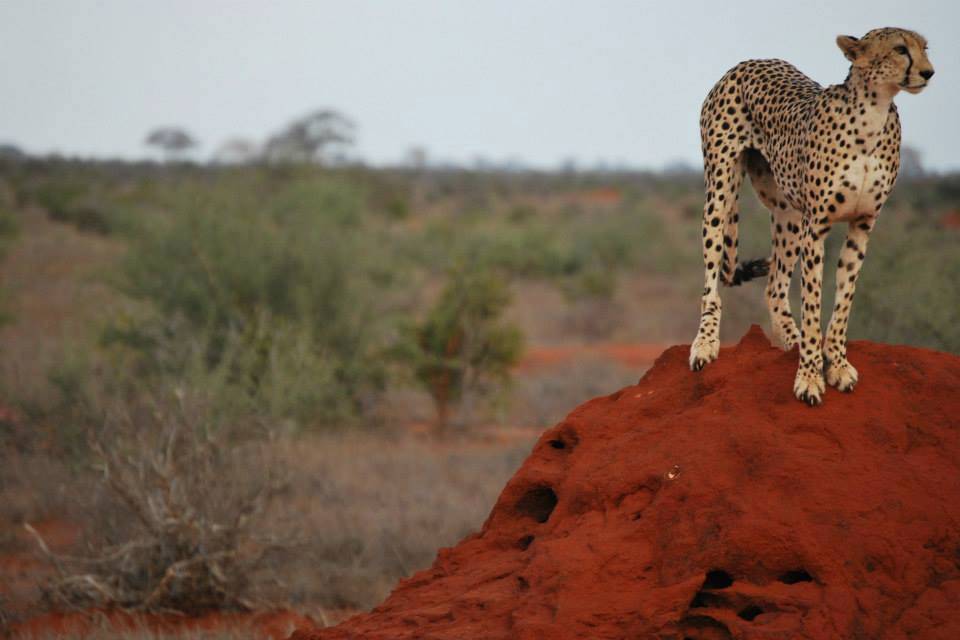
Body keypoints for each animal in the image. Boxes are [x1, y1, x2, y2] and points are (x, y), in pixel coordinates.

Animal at [688, 27, 932, 404]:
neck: (873, 115)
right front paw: (810, 378)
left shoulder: (862, 225)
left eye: (924, 48)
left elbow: (844, 300)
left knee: (774, 286)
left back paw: (794, 339)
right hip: (720, 192)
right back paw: (705, 344)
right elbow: (813, 302)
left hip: (788, 213)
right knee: (713, 280)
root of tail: (750, 61)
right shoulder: (816, 226)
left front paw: (837, 365)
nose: (928, 72)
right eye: (900, 49)